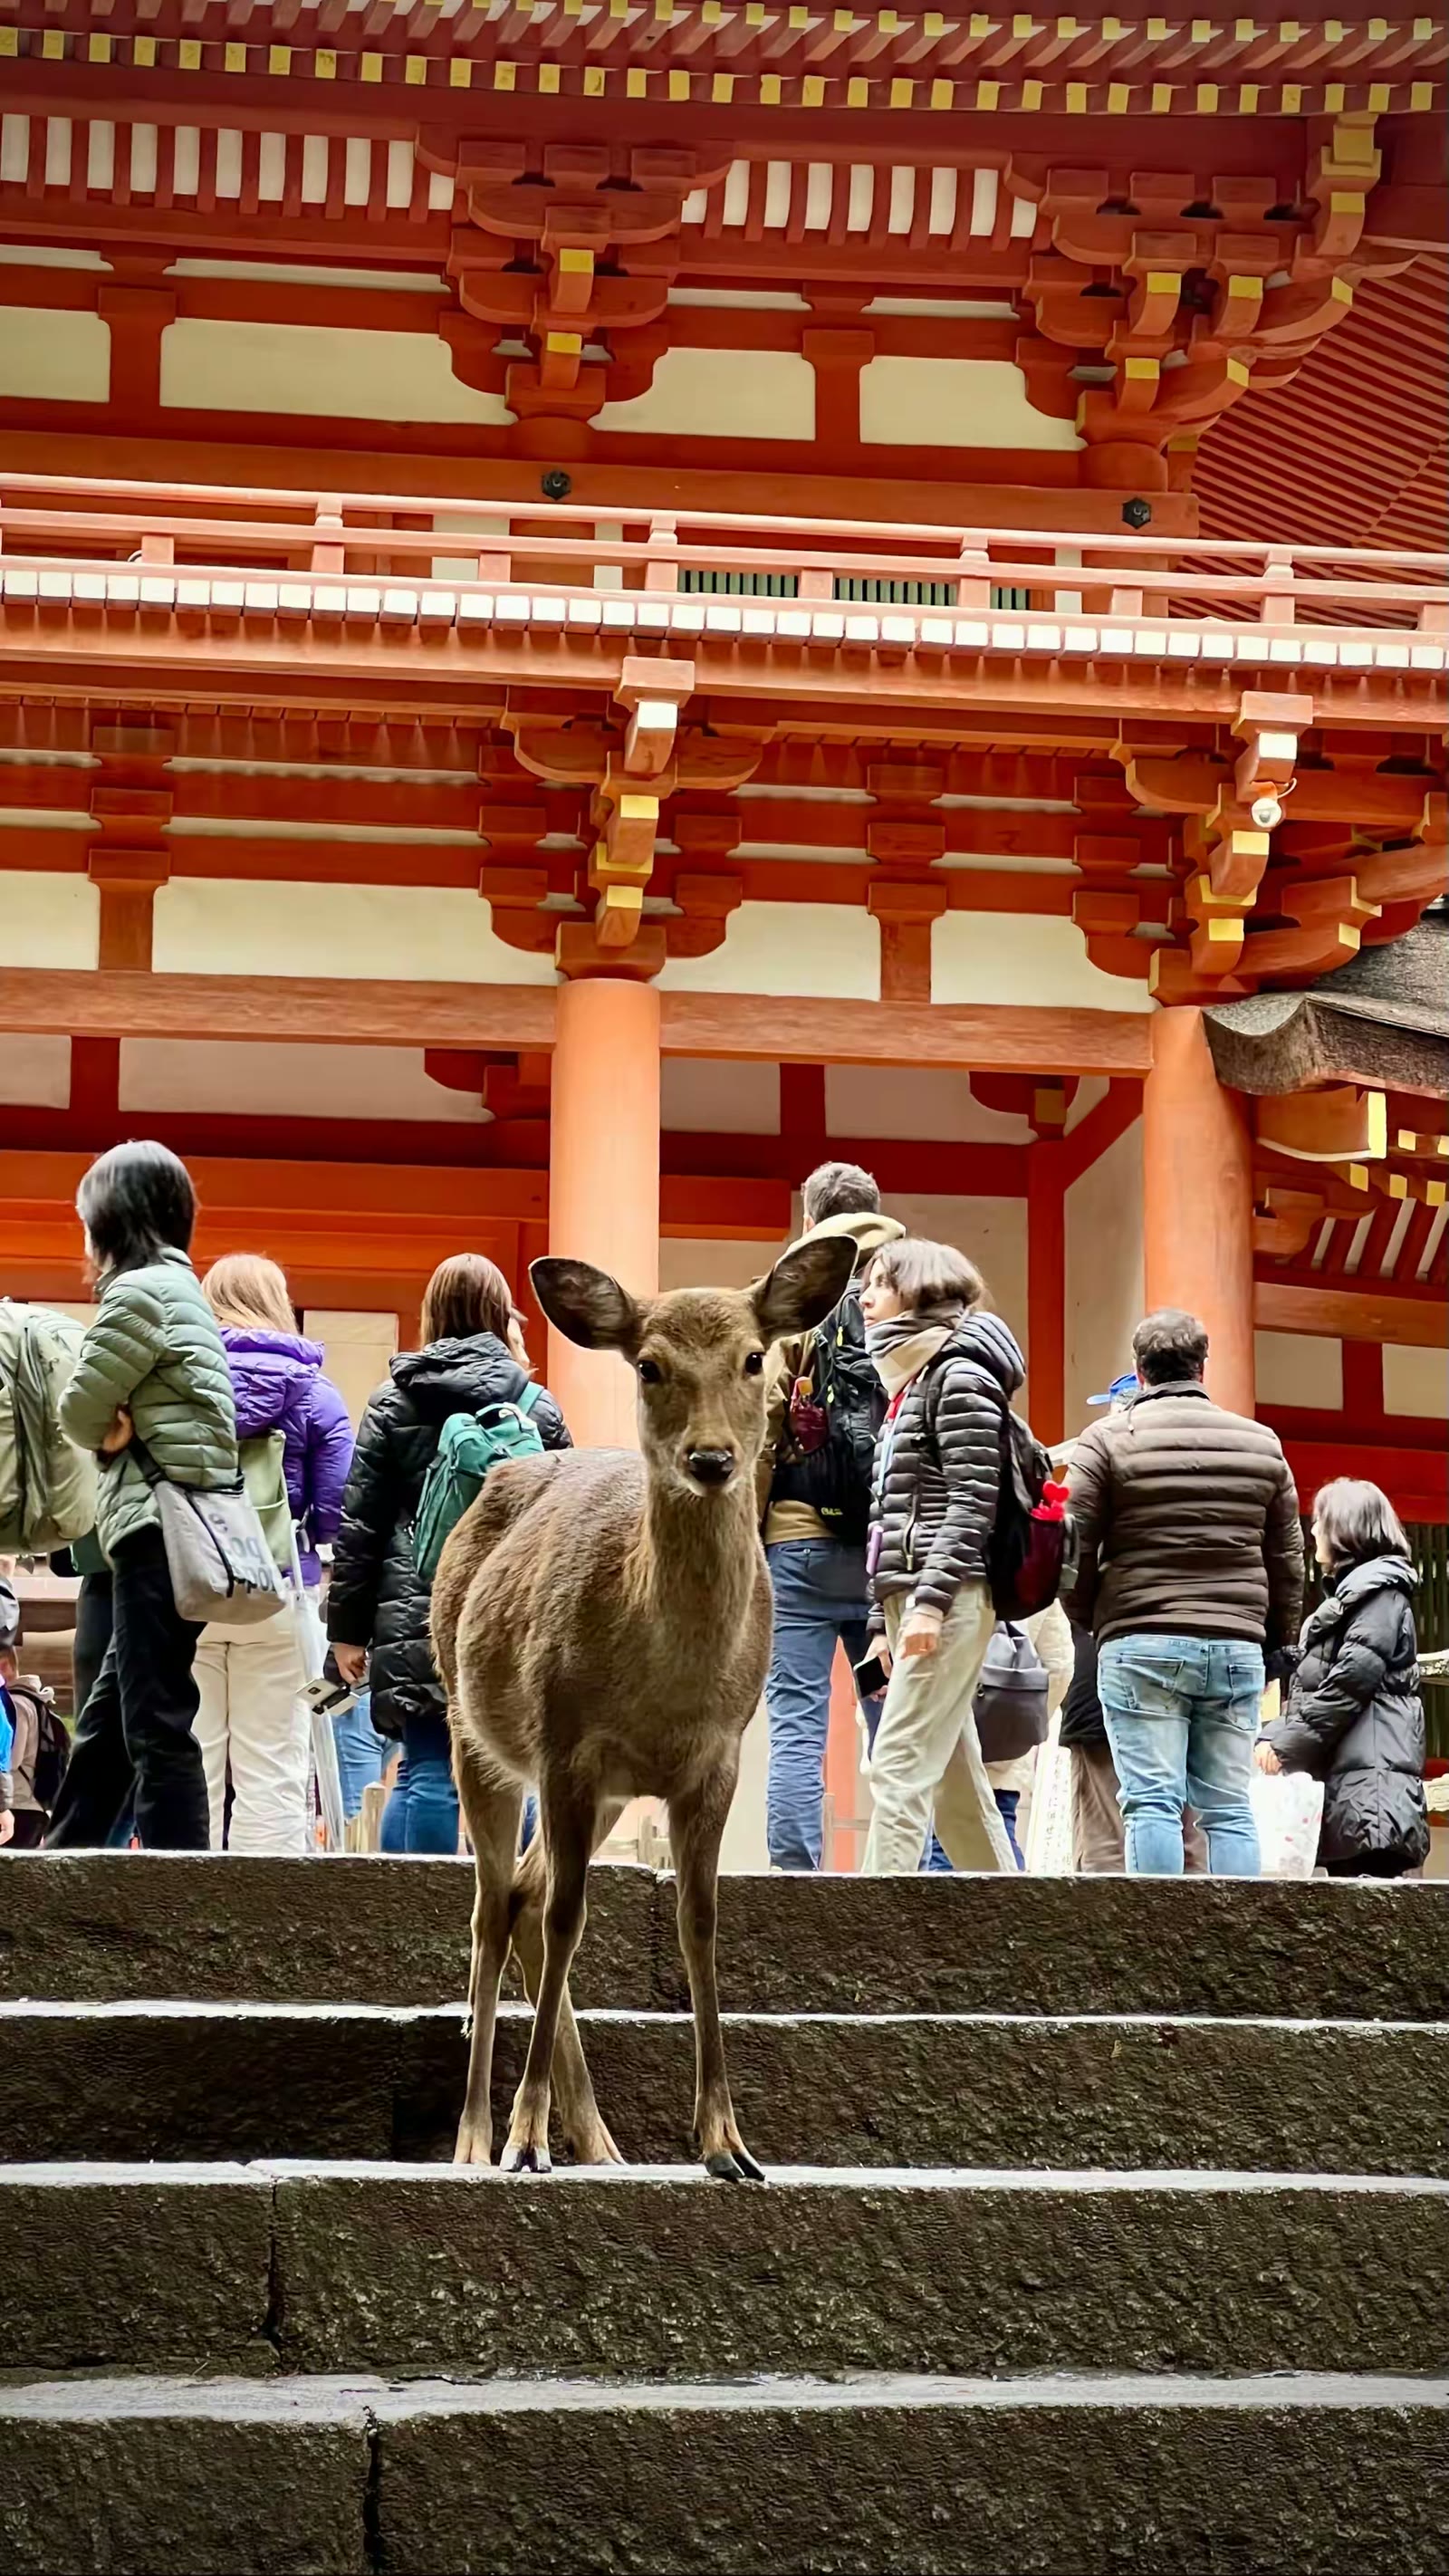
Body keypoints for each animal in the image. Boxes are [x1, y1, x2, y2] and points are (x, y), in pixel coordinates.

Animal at [429, 1231, 856, 2182]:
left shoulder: (716, 1761)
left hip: (605, 1792)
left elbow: (700, 1923)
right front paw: (525, 2137)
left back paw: (600, 2143)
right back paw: (478, 2136)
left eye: (754, 1357)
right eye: (649, 1365)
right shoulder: (564, 1745)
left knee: (523, 1896)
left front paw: (728, 2145)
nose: (711, 1459)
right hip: (472, 1733)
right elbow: (569, 1919)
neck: (669, 1689)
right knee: (495, 1908)